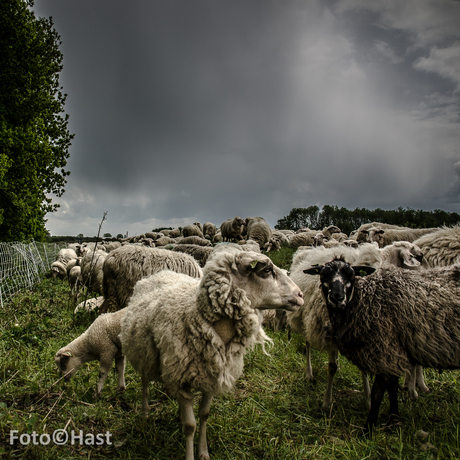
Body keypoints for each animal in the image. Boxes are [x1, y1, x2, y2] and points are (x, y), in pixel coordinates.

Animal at [120, 252, 304, 460]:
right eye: (266, 270)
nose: (300, 295)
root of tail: (159, 273)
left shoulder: (211, 376)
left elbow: (204, 414)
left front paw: (203, 452)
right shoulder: (182, 379)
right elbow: (190, 425)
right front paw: (190, 454)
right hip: (143, 352)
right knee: (144, 381)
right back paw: (144, 414)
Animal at [306, 260, 460, 434]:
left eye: (352, 276)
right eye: (323, 275)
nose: (337, 298)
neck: (364, 300)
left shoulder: (383, 349)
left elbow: (377, 393)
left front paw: (368, 428)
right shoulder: (391, 353)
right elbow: (392, 388)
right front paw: (393, 421)